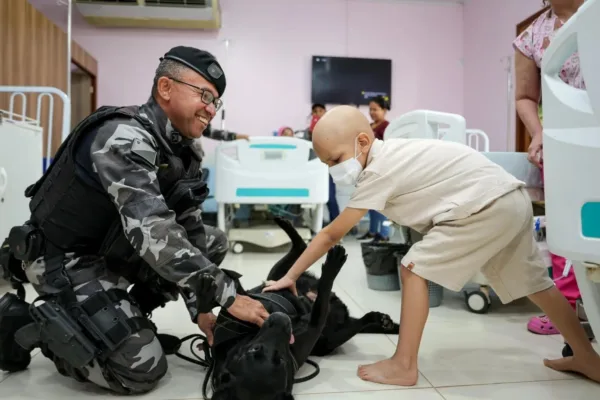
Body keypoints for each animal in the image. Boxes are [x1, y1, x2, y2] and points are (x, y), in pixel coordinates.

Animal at [197, 219, 400, 400]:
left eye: (279, 358)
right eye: (254, 350)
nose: (282, 319)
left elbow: (232, 290)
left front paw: (208, 288)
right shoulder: (314, 328)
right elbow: (322, 298)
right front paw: (332, 267)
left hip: (278, 275)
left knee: (299, 250)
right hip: (332, 338)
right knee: (352, 321)